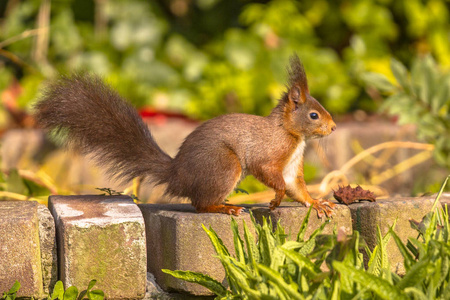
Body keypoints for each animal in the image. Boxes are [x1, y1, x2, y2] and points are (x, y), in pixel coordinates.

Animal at [35, 55, 336, 217]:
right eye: (314, 115)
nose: (333, 128)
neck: (291, 133)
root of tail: (177, 175)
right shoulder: (268, 153)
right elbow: (271, 175)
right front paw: (276, 199)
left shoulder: (292, 164)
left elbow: (296, 186)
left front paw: (316, 203)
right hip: (224, 165)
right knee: (200, 205)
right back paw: (224, 208)